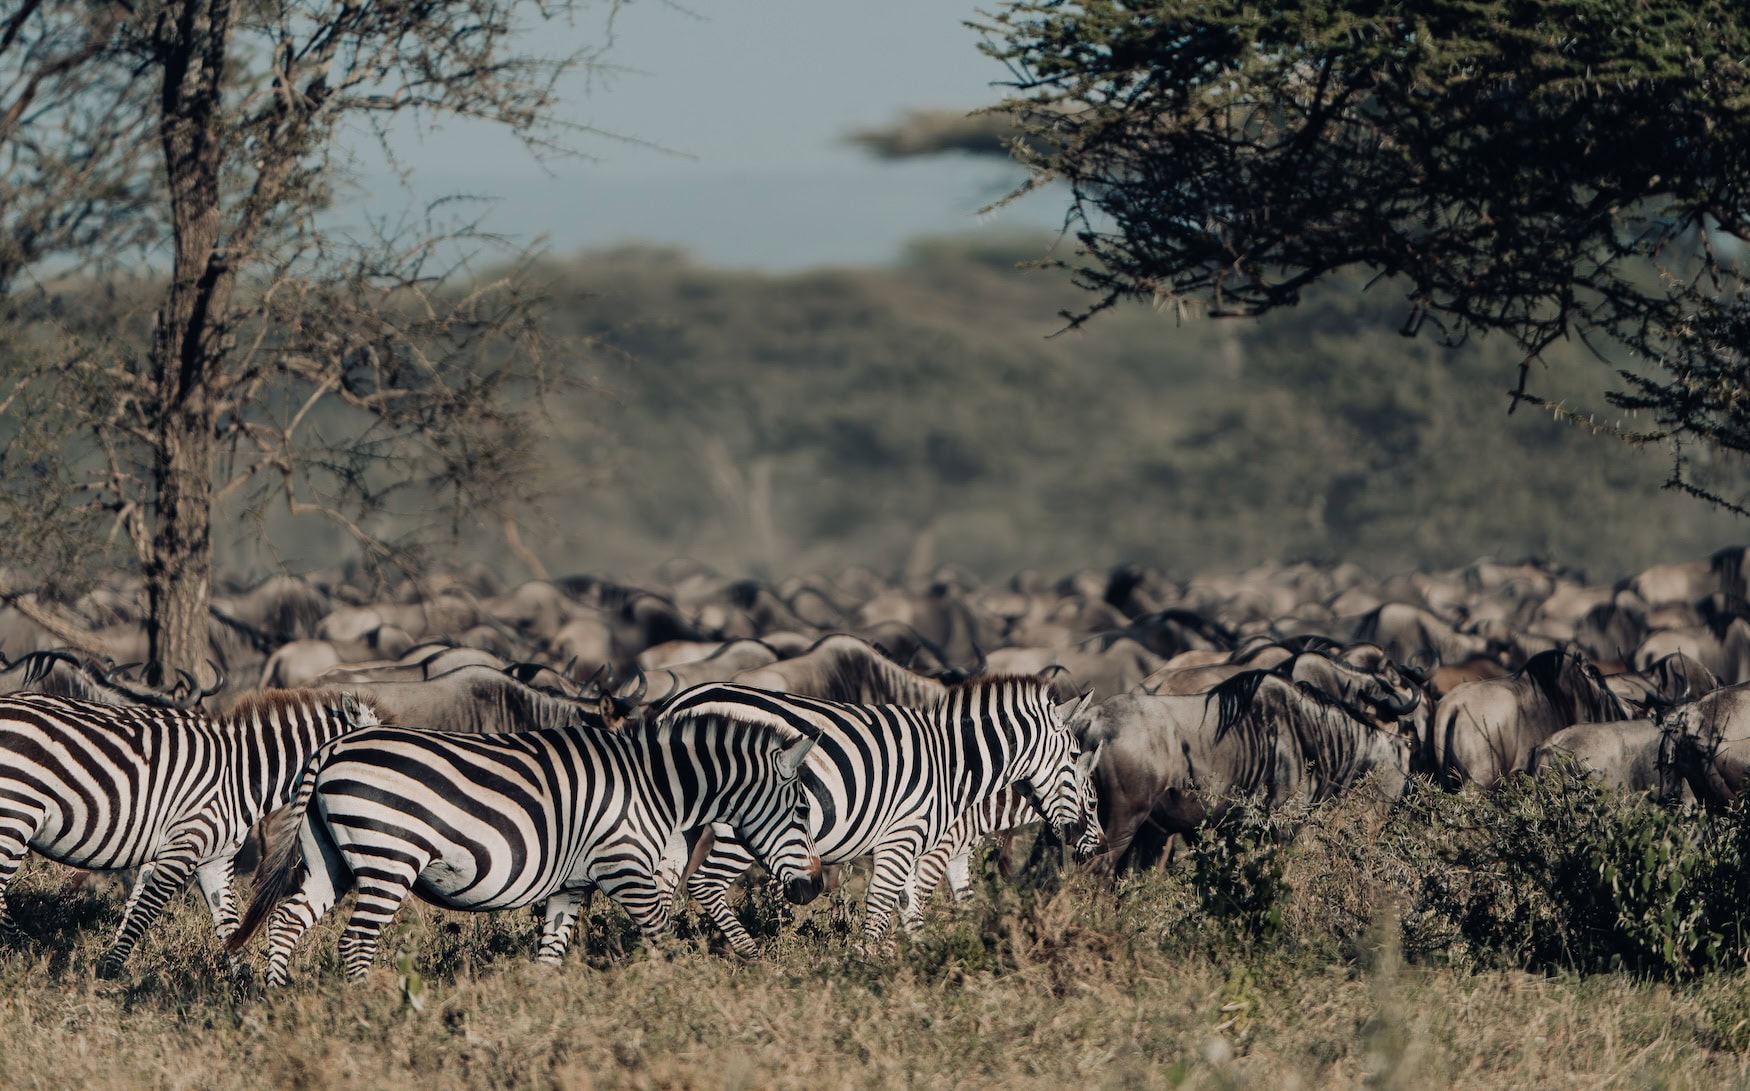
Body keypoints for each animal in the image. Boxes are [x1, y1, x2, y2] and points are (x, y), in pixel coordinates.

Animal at [0, 689, 381, 976]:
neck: (240, 776)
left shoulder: (213, 860)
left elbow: (226, 923)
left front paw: (245, 993)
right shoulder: (183, 845)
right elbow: (144, 912)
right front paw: (109, 972)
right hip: (16, 814)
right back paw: (18, 954)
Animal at [226, 712, 824, 986]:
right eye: (801, 810)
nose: (813, 887)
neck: (656, 785)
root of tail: (333, 747)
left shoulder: (573, 884)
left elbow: (549, 957)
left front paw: (540, 1011)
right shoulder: (625, 867)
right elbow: (661, 937)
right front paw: (675, 993)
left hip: (329, 857)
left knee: (286, 920)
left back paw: (277, 999)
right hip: (388, 859)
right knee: (355, 941)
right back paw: (367, 1008)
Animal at [659, 676, 1091, 956]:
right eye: (1074, 757)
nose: (1082, 838)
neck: (953, 763)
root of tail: (681, 702)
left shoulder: (913, 844)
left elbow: (909, 905)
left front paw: (917, 962)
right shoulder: (904, 836)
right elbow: (884, 900)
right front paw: (862, 964)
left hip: (678, 818)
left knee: (663, 881)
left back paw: (661, 957)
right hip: (746, 823)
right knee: (704, 882)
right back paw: (752, 954)